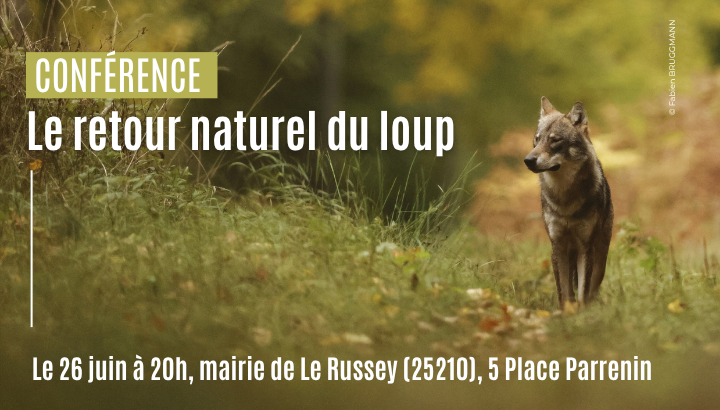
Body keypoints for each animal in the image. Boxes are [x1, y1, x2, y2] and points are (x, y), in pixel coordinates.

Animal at [524, 97, 613, 308]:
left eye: (555, 140)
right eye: (537, 139)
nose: (528, 160)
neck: (564, 198)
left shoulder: (585, 247)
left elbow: (583, 292)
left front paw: (581, 312)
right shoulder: (558, 246)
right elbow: (563, 292)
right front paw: (566, 312)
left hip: (600, 258)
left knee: (592, 289)